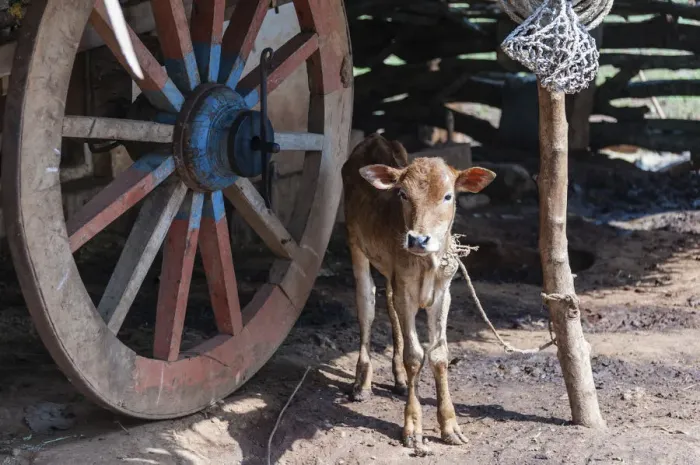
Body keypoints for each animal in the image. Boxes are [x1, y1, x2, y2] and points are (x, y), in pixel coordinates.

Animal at [341, 133, 496, 452]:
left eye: (448, 196)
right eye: (402, 194)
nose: (418, 239)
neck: (428, 263)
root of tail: (375, 137)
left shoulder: (442, 294)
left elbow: (438, 354)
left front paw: (450, 426)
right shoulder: (406, 292)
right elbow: (414, 355)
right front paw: (412, 428)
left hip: (391, 272)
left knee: (388, 304)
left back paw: (399, 379)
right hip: (355, 243)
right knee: (367, 304)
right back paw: (362, 383)